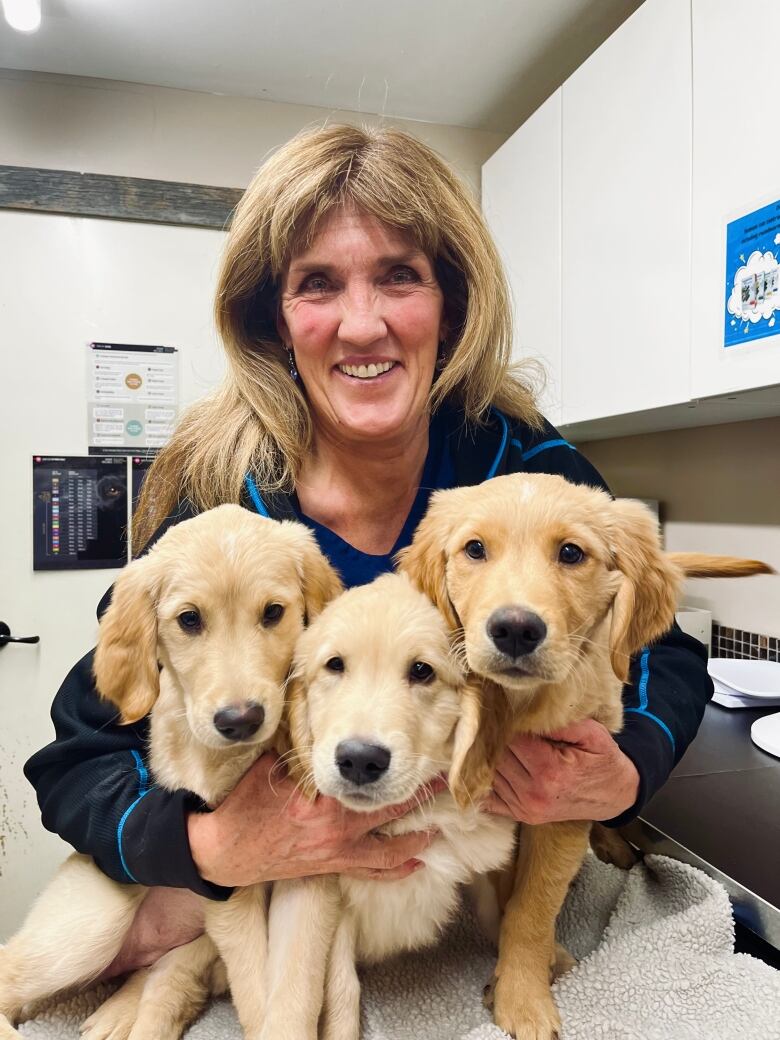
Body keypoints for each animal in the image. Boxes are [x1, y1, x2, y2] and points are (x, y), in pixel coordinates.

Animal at [0, 507, 341, 1040]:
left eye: (273, 613)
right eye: (189, 620)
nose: (240, 720)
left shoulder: (311, 870)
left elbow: (294, 989)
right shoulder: (229, 875)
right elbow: (255, 985)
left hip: (184, 950)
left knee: (161, 978)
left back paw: (119, 1015)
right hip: (91, 924)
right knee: (9, 969)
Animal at [278, 574, 515, 1040]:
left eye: (422, 671)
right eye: (335, 665)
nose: (359, 760)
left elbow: (491, 906)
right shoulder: (339, 899)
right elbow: (342, 989)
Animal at [403, 474, 777, 1040]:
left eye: (571, 553)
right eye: (474, 549)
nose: (516, 629)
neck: (518, 709)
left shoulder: (563, 799)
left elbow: (531, 908)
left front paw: (524, 995)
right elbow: (505, 893)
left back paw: (615, 845)